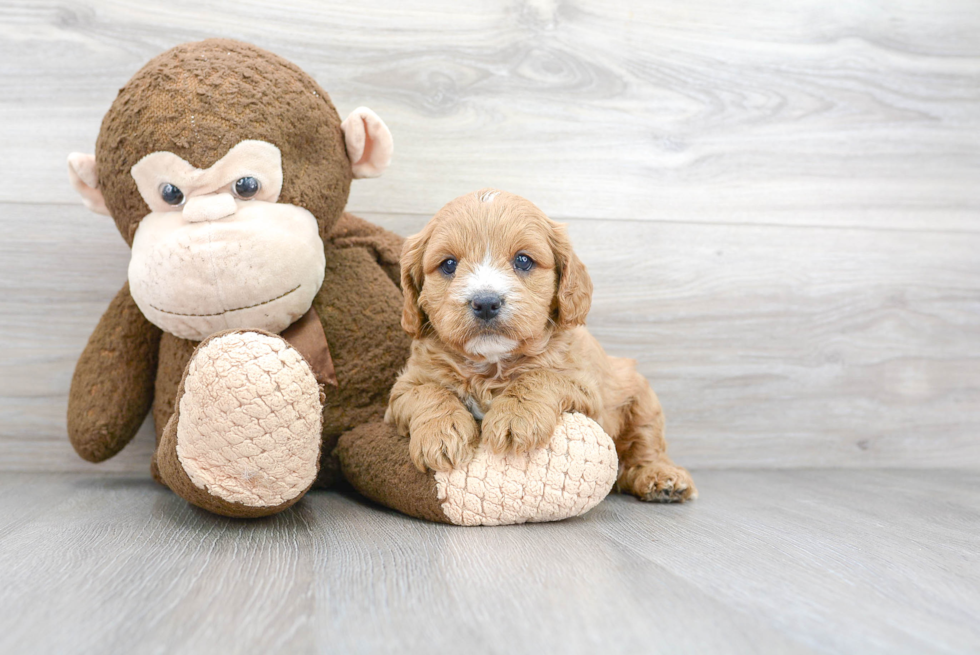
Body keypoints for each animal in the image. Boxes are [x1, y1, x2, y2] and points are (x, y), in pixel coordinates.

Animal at [384, 190, 696, 502]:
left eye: (523, 260)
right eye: (448, 264)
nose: (485, 302)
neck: (492, 362)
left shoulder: (585, 387)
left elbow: (540, 376)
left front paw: (515, 418)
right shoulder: (404, 388)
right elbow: (427, 391)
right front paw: (440, 434)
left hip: (642, 400)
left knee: (645, 445)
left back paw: (662, 478)